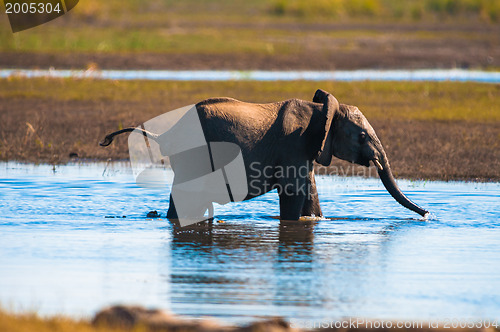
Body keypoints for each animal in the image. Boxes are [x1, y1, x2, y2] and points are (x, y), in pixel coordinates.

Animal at [99, 89, 428, 222]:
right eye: (361, 136)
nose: (427, 214)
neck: (321, 110)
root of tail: (167, 133)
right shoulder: (294, 145)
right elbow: (293, 193)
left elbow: (309, 193)